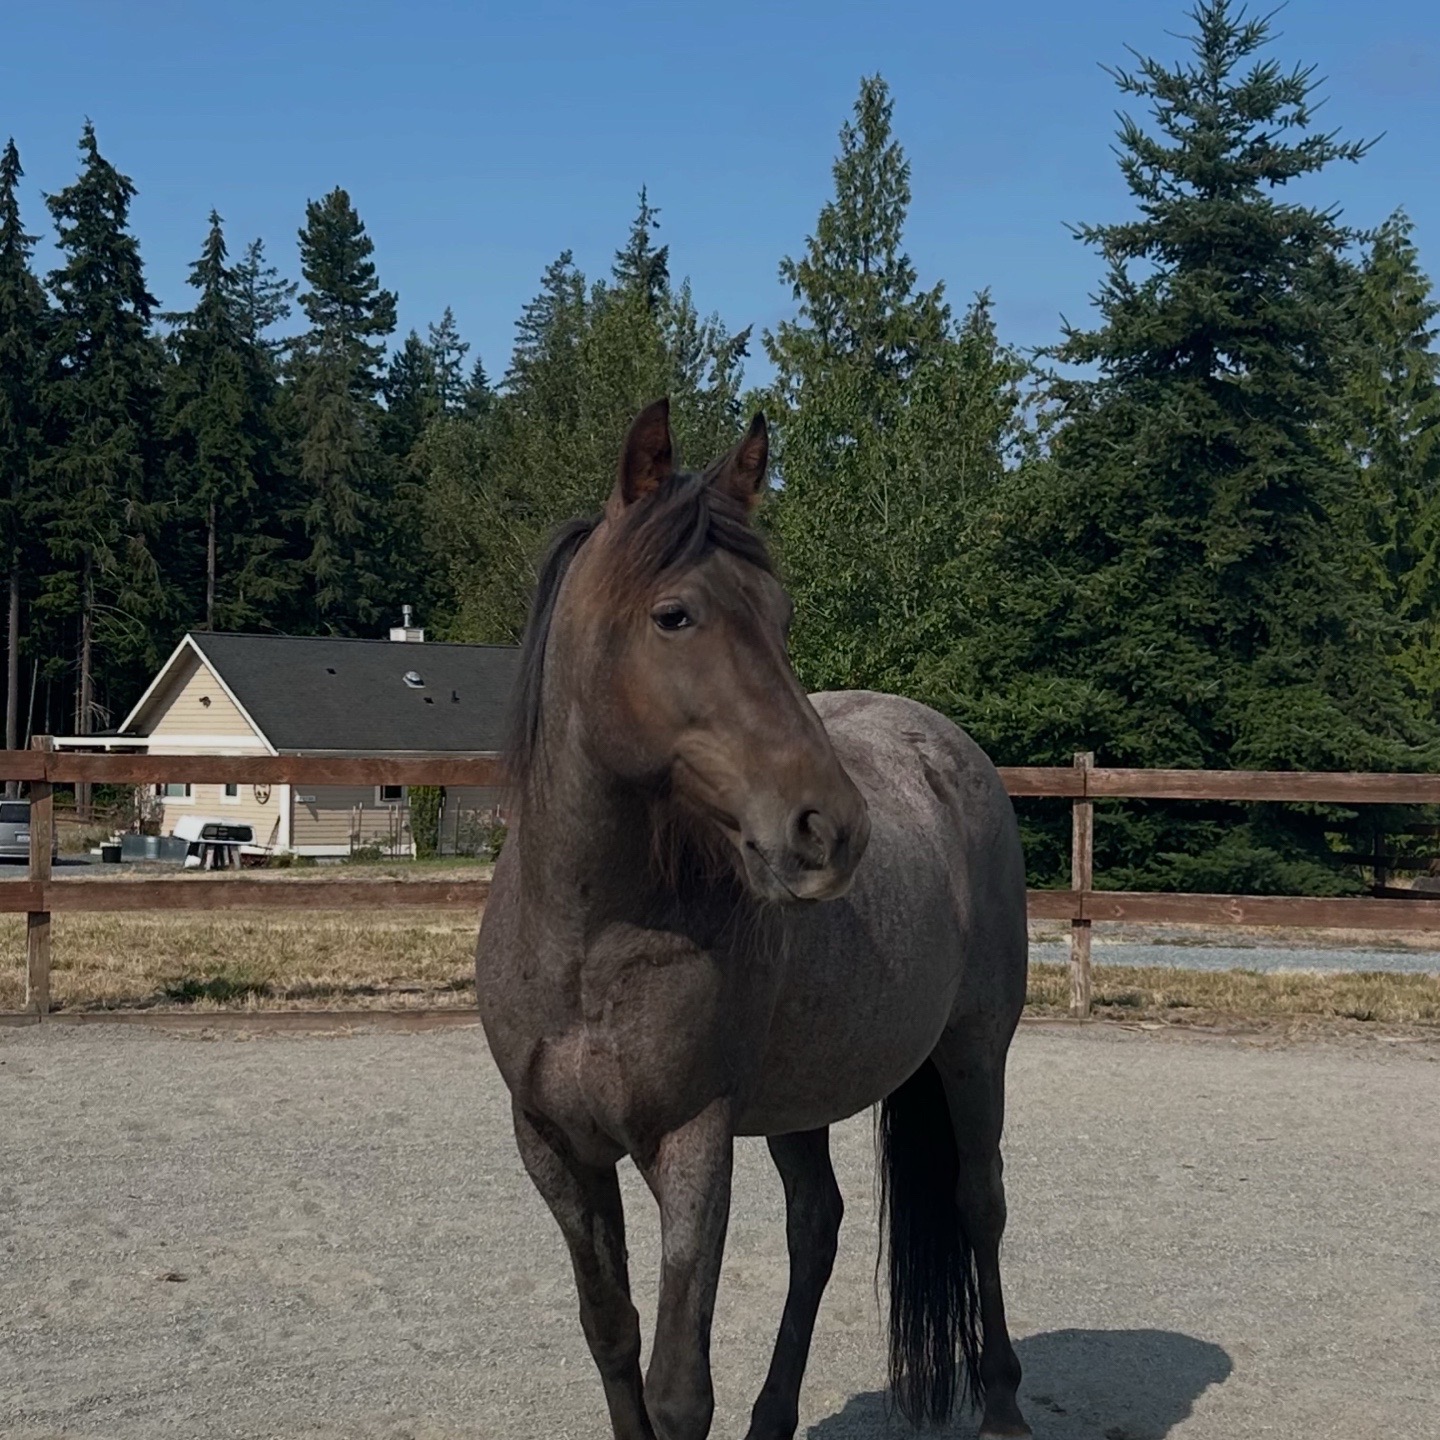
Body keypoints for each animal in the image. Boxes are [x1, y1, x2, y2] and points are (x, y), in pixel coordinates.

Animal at [474, 399, 1031, 1440]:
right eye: (674, 615)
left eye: (782, 617)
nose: (831, 827)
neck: (590, 941)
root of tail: (945, 744)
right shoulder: (556, 1150)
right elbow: (611, 1335)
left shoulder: (693, 1142)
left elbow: (678, 1383)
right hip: (799, 1099)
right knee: (818, 1225)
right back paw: (776, 1418)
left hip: (976, 1051)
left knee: (981, 1204)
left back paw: (1006, 1407)